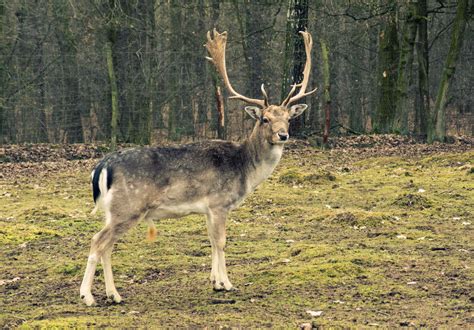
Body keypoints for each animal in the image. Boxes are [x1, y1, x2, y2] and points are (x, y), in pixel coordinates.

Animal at [79, 29, 316, 306]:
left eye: (288, 118)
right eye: (265, 119)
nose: (283, 135)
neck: (244, 168)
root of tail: (102, 167)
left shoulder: (207, 209)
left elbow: (211, 241)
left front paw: (215, 282)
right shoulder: (219, 203)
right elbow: (221, 241)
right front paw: (227, 284)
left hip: (113, 211)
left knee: (107, 245)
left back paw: (113, 294)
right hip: (128, 206)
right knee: (98, 241)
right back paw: (88, 296)